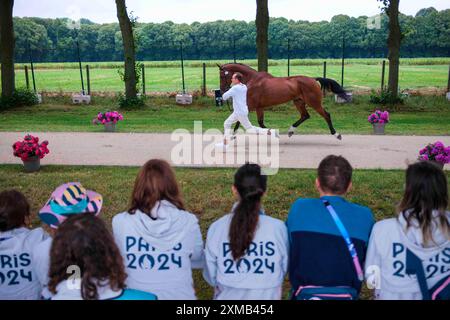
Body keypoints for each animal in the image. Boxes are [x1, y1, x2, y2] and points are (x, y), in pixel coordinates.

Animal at [218, 63, 348, 139]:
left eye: (222, 76)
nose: (222, 90)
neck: (253, 80)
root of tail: (313, 79)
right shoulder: (259, 107)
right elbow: (260, 123)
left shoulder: (249, 106)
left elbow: (241, 121)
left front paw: (233, 136)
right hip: (298, 102)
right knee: (305, 116)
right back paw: (290, 131)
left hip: (314, 103)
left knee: (326, 115)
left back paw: (336, 134)